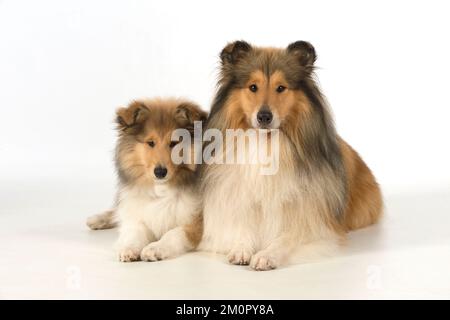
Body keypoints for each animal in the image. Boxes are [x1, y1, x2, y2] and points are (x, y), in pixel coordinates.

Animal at [87, 98, 207, 262]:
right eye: (150, 143)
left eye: (174, 143)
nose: (160, 172)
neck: (161, 190)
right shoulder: (140, 216)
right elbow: (135, 232)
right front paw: (129, 249)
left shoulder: (196, 223)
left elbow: (173, 234)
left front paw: (154, 248)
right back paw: (96, 219)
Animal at [198, 40, 384, 270]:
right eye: (253, 87)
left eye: (281, 88)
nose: (264, 116)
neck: (266, 144)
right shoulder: (240, 200)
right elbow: (241, 228)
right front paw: (241, 249)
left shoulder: (311, 221)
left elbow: (287, 237)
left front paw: (266, 255)